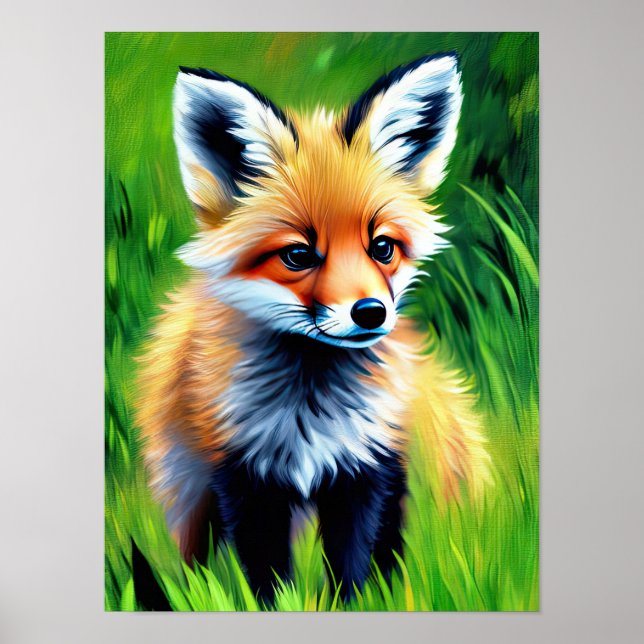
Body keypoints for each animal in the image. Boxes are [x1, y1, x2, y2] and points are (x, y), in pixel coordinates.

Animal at [136, 53, 491, 604]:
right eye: (299, 255)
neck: (309, 407)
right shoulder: (242, 475)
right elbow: (265, 582)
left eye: (382, 247)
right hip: (188, 488)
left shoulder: (368, 467)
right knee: (194, 560)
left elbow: (354, 573)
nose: (370, 312)